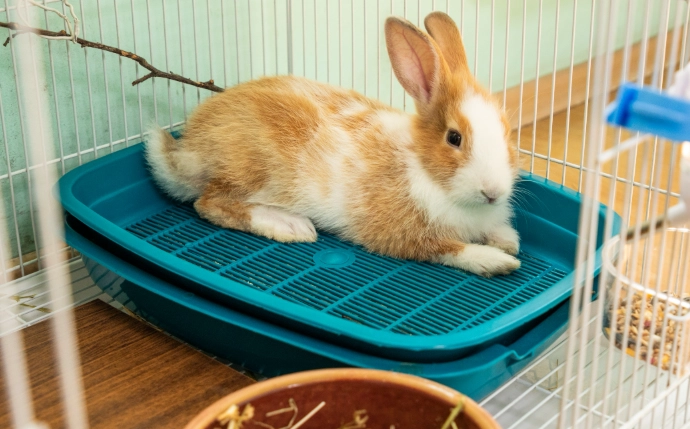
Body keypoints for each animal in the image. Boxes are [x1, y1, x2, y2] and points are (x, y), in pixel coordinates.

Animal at [145, 11, 521, 277]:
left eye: (506, 131)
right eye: (454, 138)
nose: (493, 193)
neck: (426, 170)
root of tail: (186, 150)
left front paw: (508, 240)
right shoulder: (404, 236)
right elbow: (450, 249)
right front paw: (497, 261)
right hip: (251, 171)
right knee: (210, 203)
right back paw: (289, 225)